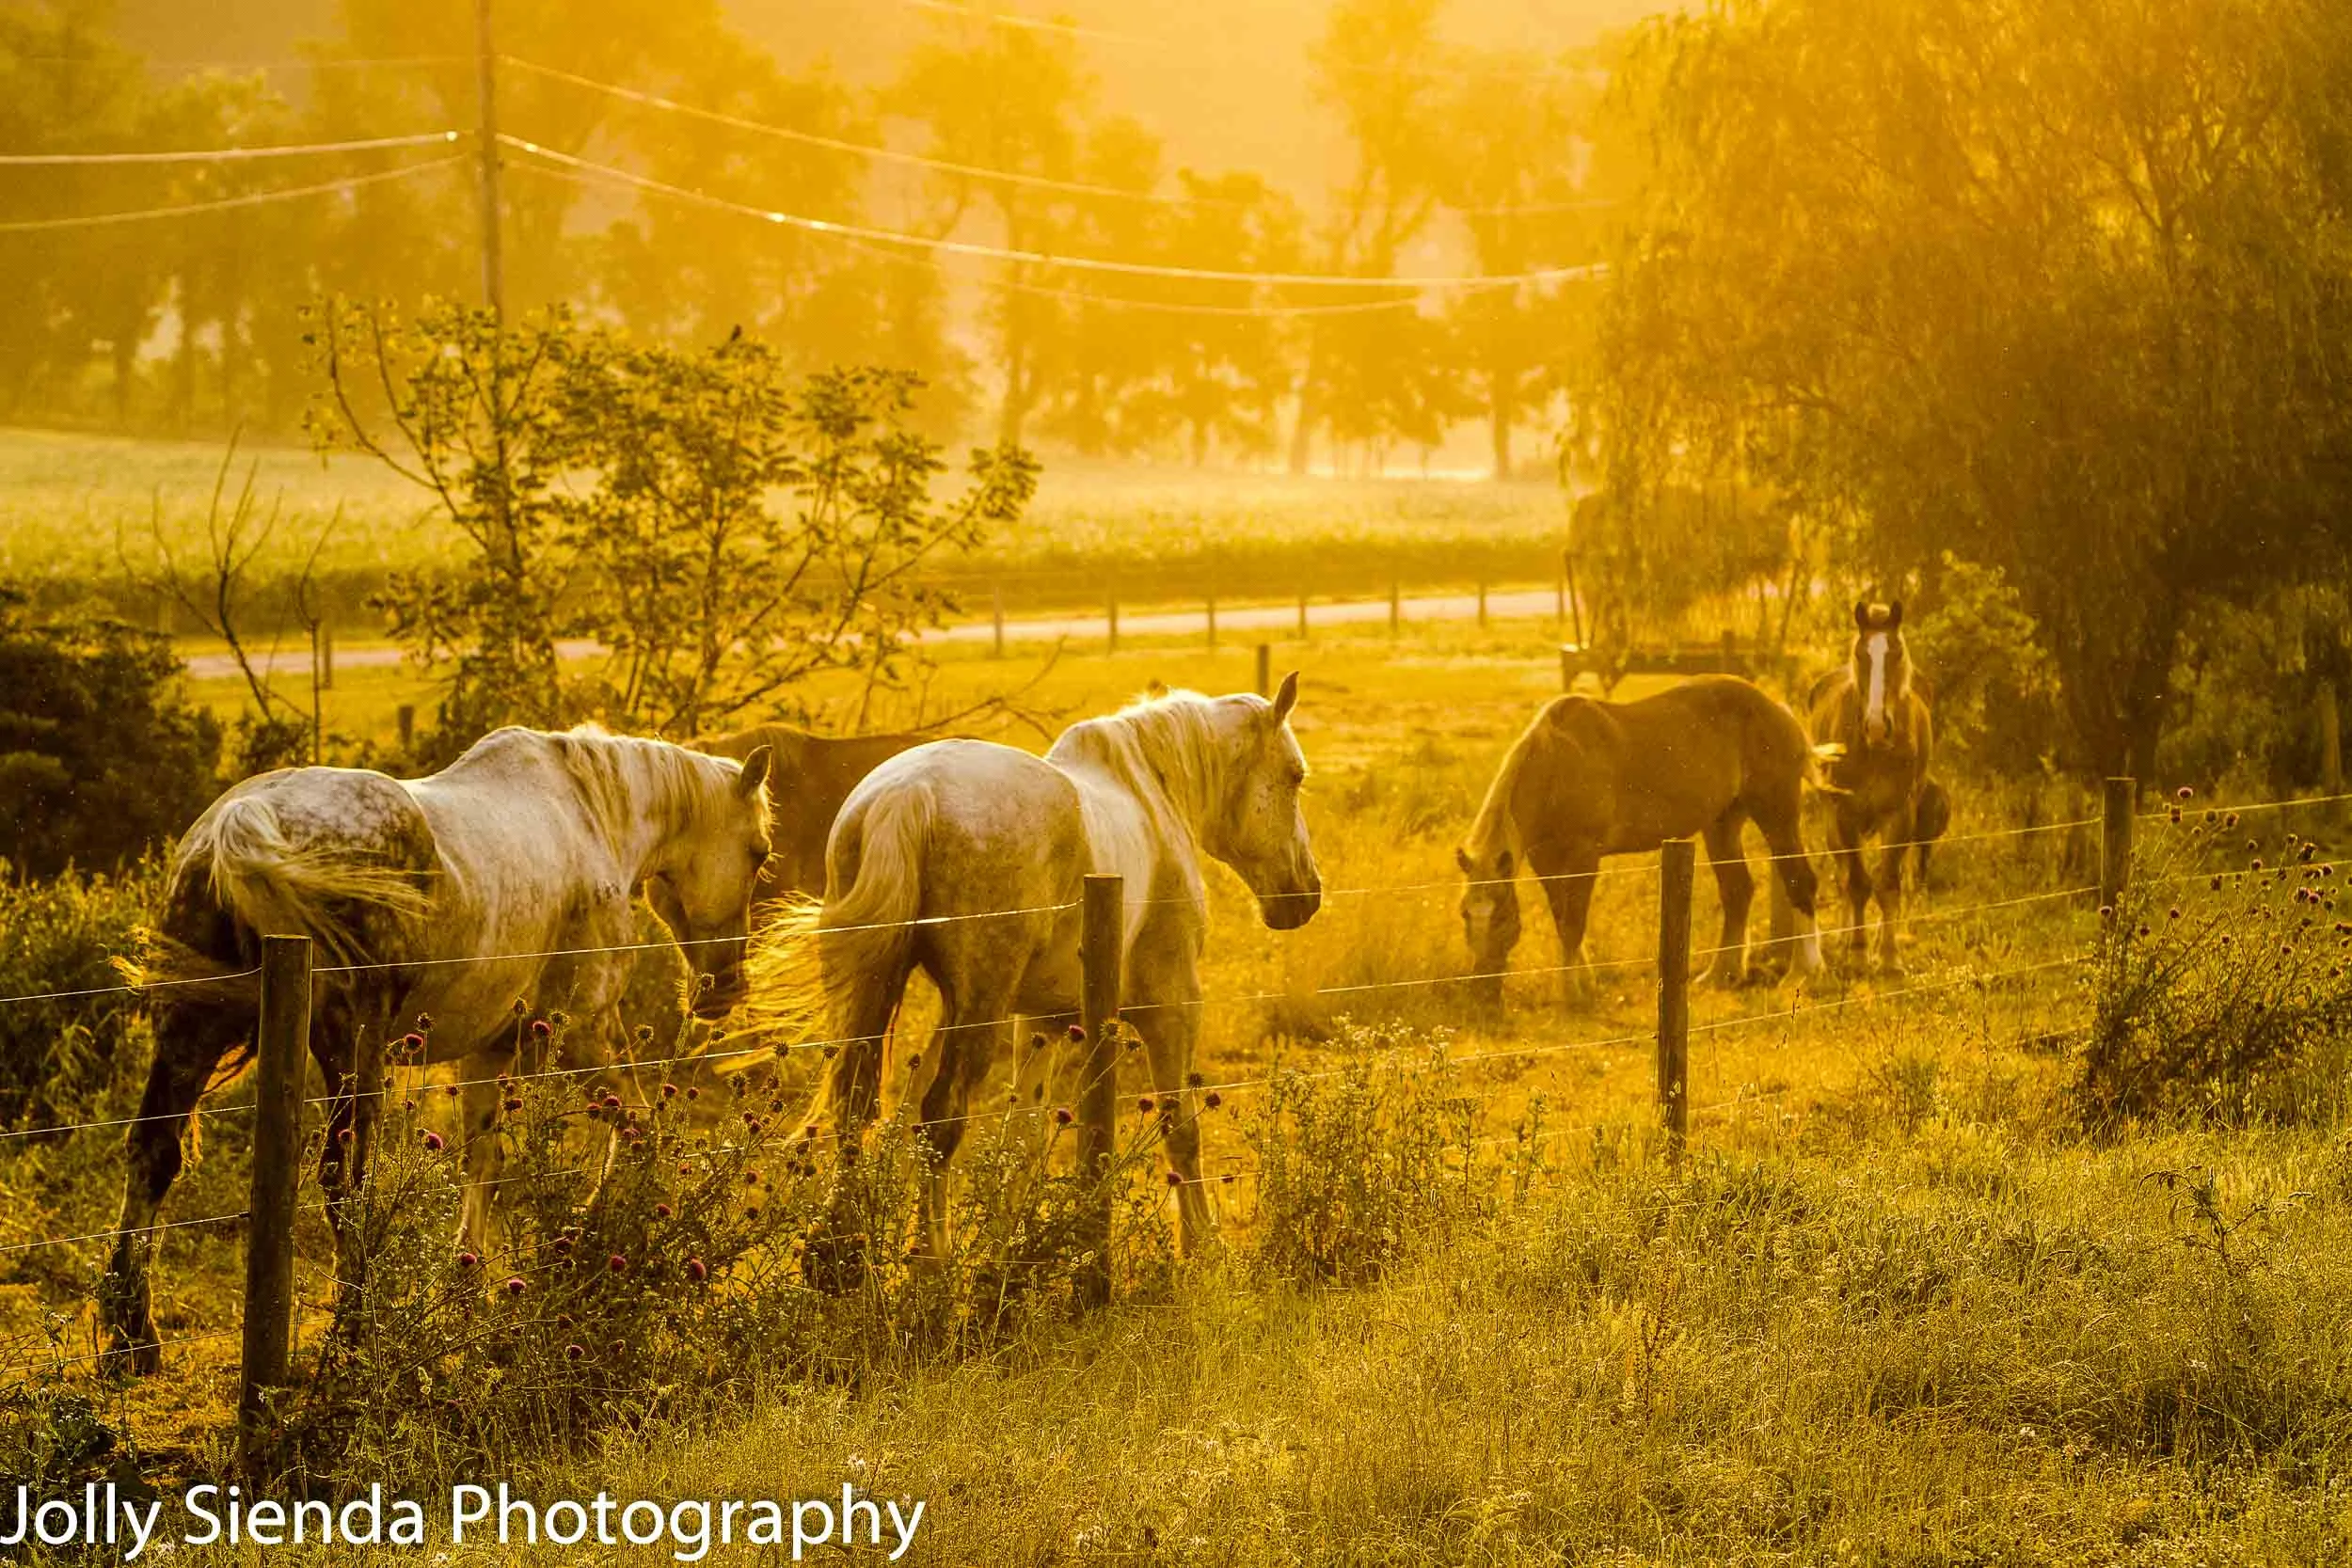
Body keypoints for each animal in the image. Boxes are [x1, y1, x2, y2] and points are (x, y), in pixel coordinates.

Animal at [100, 725, 772, 1372]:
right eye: (759, 854)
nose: (727, 988)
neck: (587, 813)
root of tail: (237, 822)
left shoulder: (487, 1053)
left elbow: (483, 1165)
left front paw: (470, 1281)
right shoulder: (586, 1030)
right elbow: (639, 1131)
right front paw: (598, 1242)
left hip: (192, 1033)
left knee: (154, 1152)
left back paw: (131, 1337)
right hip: (352, 1052)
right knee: (344, 1178)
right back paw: (352, 1332)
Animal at [751, 676, 1321, 1260]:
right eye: (1295, 776)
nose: (1304, 897)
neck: (1150, 794)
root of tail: (908, 796)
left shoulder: (1041, 1022)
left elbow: (1022, 1136)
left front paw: (1006, 1241)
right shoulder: (1172, 1008)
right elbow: (1180, 1128)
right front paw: (1202, 1246)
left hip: (883, 995)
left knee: (859, 1109)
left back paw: (840, 1252)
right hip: (978, 1008)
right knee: (938, 1117)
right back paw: (931, 1262)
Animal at [1455, 675, 1829, 1006]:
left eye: (1501, 918)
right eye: (1464, 914)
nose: (1482, 990)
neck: (1558, 763)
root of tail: (1777, 708)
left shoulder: (1584, 856)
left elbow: (1573, 924)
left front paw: (1573, 994)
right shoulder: (1544, 861)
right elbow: (1563, 919)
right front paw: (1585, 983)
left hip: (1776, 814)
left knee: (1800, 881)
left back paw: (1803, 971)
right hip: (1722, 824)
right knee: (1737, 891)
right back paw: (1722, 974)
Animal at [1807, 601, 1936, 970]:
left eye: (1897, 652)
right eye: (1861, 654)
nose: (1878, 727)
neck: (1874, 751)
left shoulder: (1899, 815)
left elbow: (1888, 884)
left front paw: (1889, 957)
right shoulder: (1845, 816)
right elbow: (1857, 883)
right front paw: (1858, 952)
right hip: (1832, 825)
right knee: (1842, 875)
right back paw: (1846, 937)